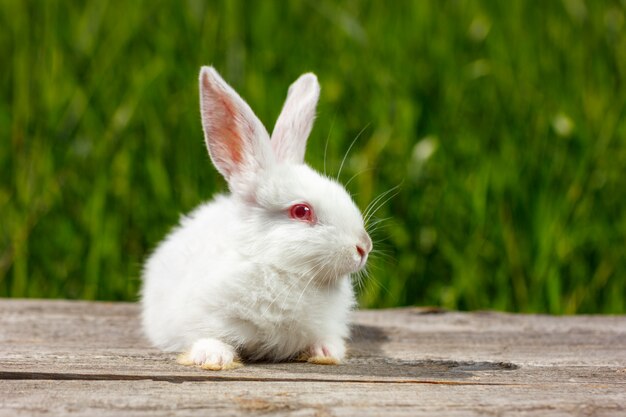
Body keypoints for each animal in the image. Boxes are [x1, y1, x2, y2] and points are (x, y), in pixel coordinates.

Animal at [141, 66, 370, 368]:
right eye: (302, 211)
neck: (277, 267)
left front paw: (326, 353)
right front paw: (214, 358)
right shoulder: (201, 315)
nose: (364, 247)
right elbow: (207, 336)